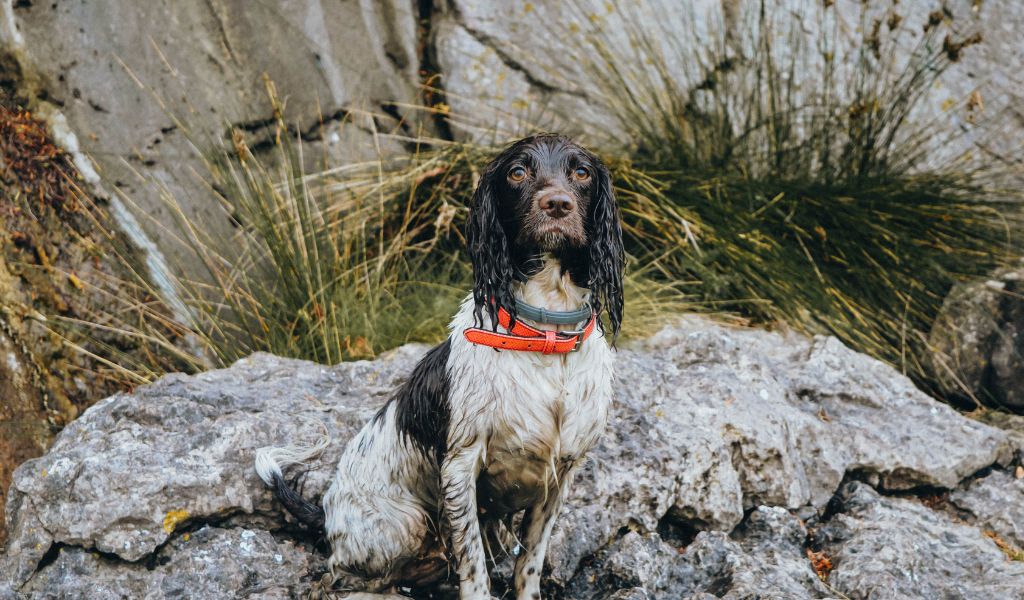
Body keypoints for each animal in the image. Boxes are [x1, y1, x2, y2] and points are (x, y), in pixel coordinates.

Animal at [256, 133, 622, 593]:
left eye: (582, 172)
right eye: (518, 172)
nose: (557, 204)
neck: (543, 336)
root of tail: (323, 512)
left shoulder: (560, 475)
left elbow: (530, 563)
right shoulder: (460, 467)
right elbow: (474, 567)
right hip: (404, 523)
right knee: (338, 576)